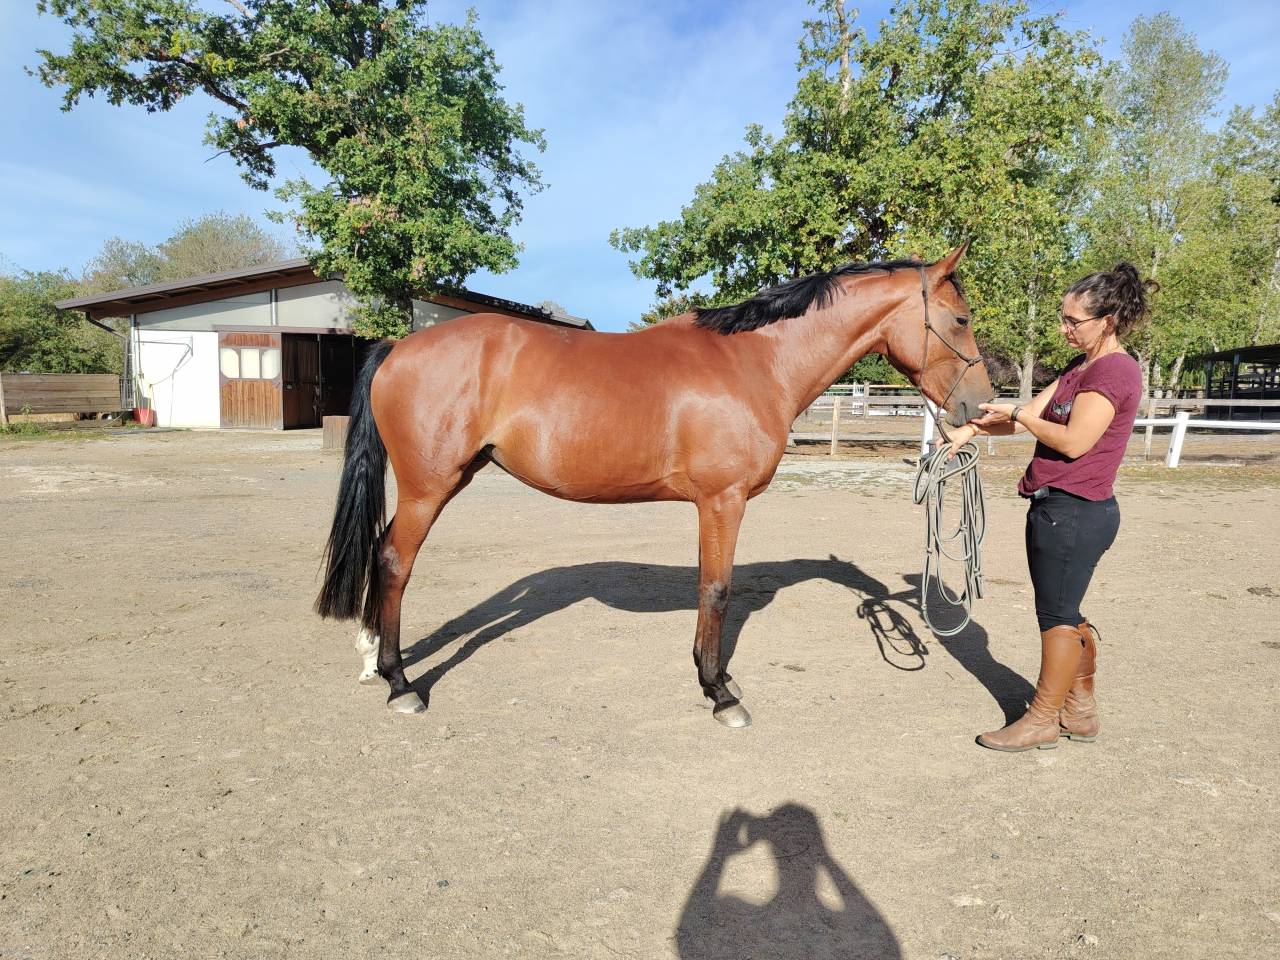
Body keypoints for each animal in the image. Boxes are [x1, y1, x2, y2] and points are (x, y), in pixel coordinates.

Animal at [315, 243, 994, 726]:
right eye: (961, 319)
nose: (980, 407)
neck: (756, 362)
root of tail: (399, 347)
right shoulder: (723, 502)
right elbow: (717, 589)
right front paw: (720, 694)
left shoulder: (711, 505)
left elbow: (709, 588)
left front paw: (713, 678)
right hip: (429, 487)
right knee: (393, 561)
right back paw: (400, 683)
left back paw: (375, 660)